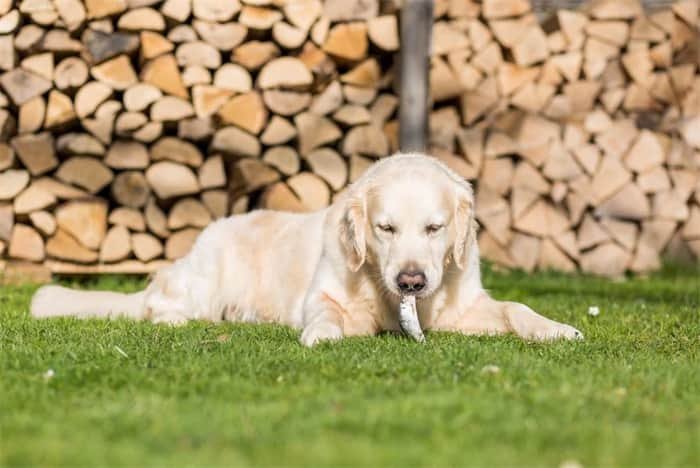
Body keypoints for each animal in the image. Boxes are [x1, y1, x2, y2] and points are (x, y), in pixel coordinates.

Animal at [30, 153, 584, 344]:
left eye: (434, 228)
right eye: (385, 228)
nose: (411, 281)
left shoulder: (465, 305)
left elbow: (516, 309)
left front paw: (556, 328)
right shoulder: (324, 293)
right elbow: (326, 312)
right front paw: (321, 334)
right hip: (203, 275)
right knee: (155, 303)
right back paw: (177, 318)